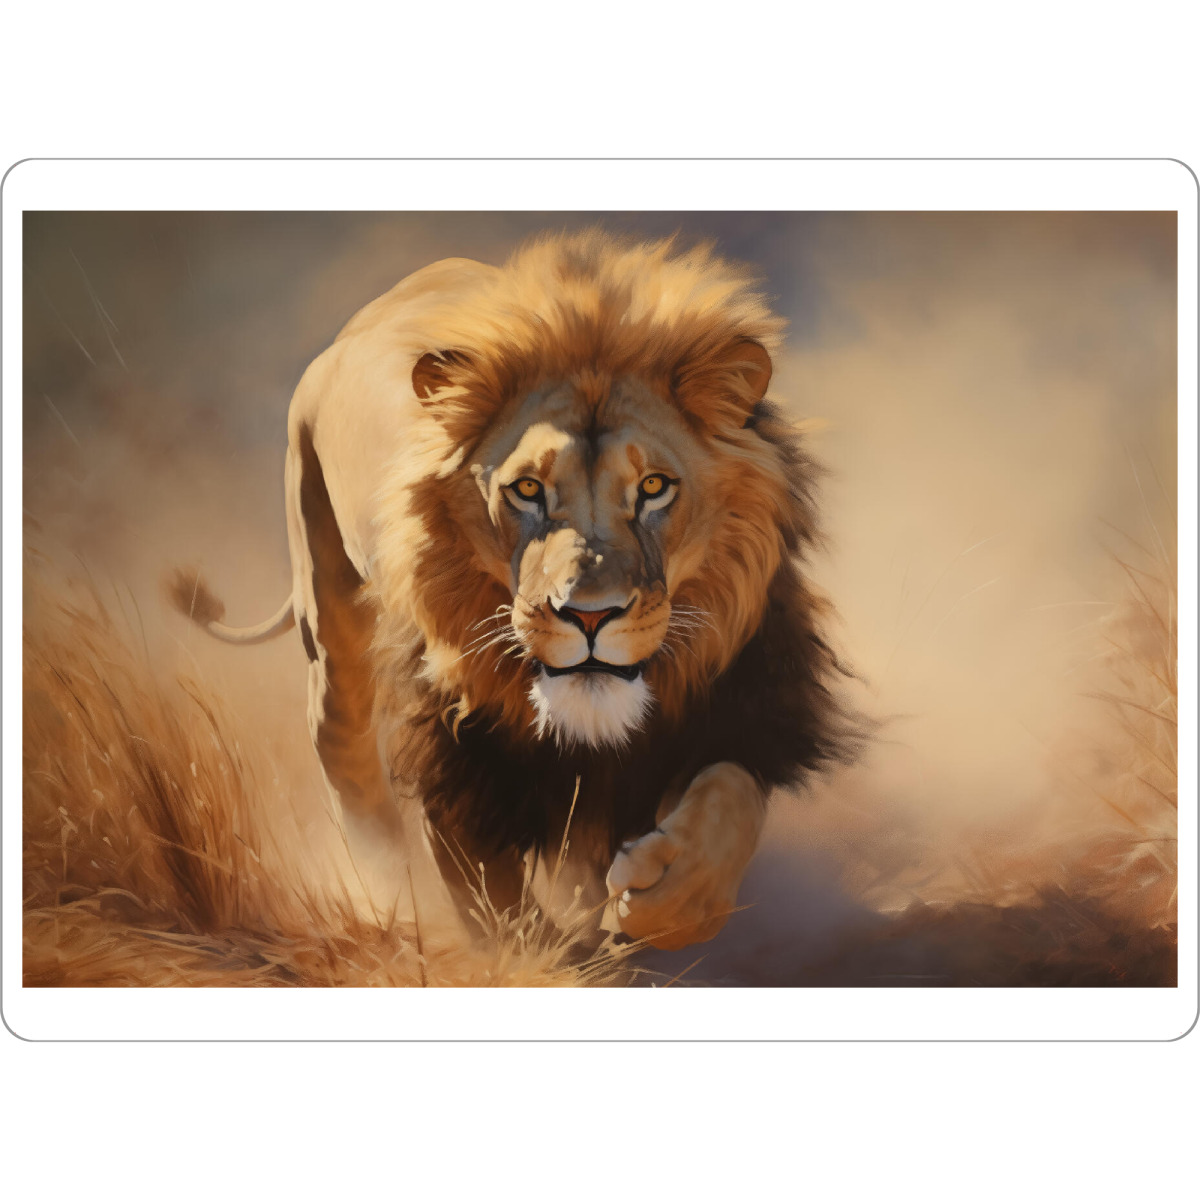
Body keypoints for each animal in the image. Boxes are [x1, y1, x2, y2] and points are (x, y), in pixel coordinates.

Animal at [169, 230, 852, 951]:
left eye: (654, 487)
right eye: (526, 489)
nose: (588, 617)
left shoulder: (735, 697)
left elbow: (728, 796)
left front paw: (659, 896)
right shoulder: (454, 737)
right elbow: (488, 888)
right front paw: (546, 944)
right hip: (326, 581)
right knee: (339, 734)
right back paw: (386, 886)